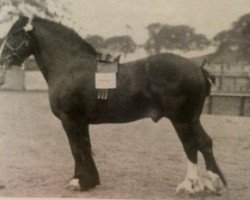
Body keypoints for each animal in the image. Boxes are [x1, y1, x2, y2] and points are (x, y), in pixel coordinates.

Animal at [0, 15, 226, 194]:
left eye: (14, 35)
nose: (2, 60)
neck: (70, 66)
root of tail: (198, 68)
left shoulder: (70, 120)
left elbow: (76, 148)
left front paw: (78, 182)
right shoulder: (81, 121)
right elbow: (85, 146)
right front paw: (90, 181)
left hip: (181, 119)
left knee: (191, 145)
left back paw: (189, 185)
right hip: (192, 118)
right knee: (205, 142)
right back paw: (212, 183)